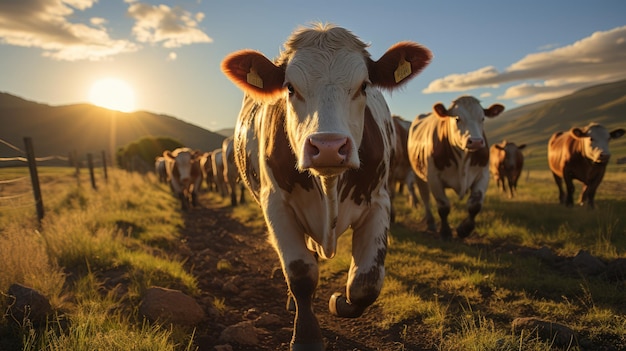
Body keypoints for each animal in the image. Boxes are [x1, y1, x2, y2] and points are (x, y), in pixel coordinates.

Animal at [219, 23, 428, 350]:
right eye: (290, 88)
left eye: (364, 86)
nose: (328, 147)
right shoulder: (275, 204)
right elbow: (301, 273)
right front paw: (306, 336)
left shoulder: (379, 201)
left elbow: (365, 283)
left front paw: (338, 302)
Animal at [404, 95, 502, 239]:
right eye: (457, 118)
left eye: (483, 118)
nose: (476, 142)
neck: (463, 159)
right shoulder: (434, 178)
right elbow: (443, 206)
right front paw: (445, 232)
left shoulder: (483, 174)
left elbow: (475, 205)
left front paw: (464, 229)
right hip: (418, 174)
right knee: (425, 197)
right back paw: (430, 222)